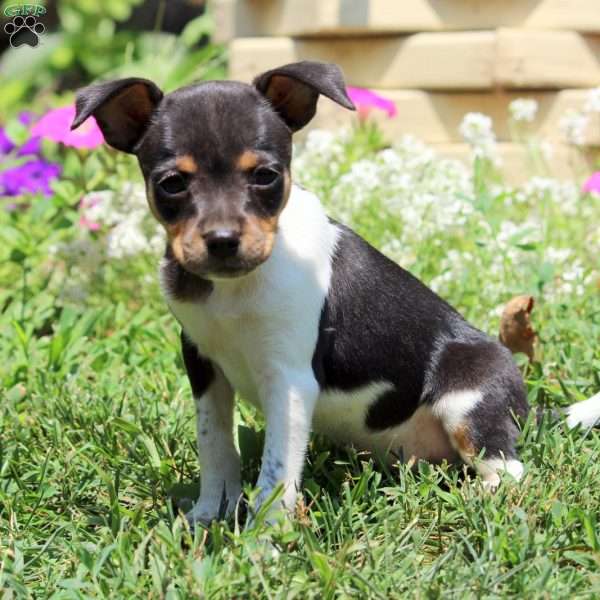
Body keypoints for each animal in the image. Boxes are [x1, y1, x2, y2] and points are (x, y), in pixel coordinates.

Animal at [74, 58, 600, 524]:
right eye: (172, 184)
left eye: (265, 175)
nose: (222, 241)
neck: (233, 288)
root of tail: (525, 412)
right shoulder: (203, 364)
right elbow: (216, 448)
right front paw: (208, 516)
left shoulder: (289, 380)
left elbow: (275, 476)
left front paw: (262, 543)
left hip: (466, 402)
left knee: (509, 471)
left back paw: (477, 496)